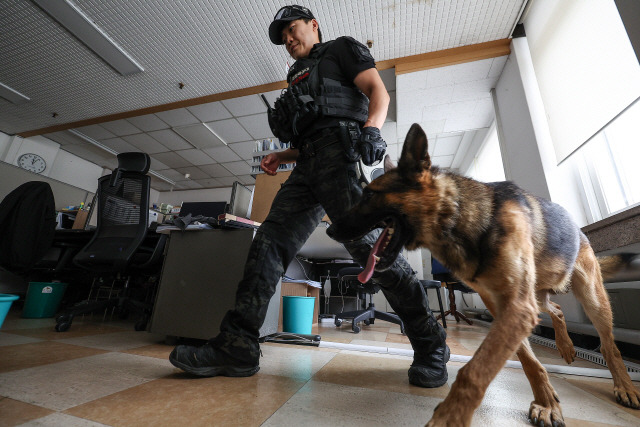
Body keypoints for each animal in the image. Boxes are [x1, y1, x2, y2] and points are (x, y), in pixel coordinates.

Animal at [328, 122, 636, 426]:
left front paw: (449, 418)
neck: (457, 217)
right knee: (558, 309)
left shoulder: (517, 308)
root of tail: (578, 229)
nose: (330, 230)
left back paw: (624, 386)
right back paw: (567, 347)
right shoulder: (507, 308)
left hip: (590, 296)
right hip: (538, 298)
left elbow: (475, 372)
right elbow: (528, 361)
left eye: (369, 195)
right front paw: (547, 402)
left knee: (609, 345)